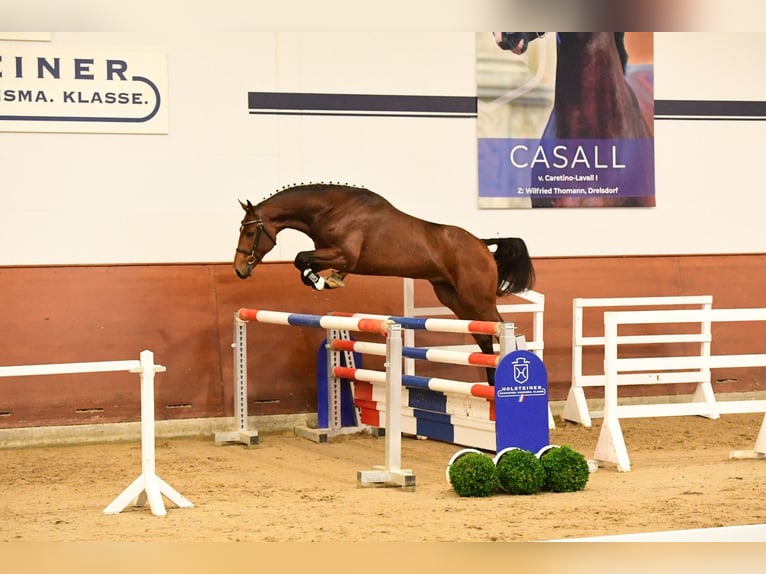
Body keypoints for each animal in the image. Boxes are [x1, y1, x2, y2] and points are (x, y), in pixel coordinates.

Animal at [231, 183, 536, 382]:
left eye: (249, 232)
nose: (239, 270)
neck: (331, 210)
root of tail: (482, 245)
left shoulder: (344, 255)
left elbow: (300, 258)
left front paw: (322, 281)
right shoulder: (332, 255)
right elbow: (303, 262)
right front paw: (327, 281)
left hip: (477, 298)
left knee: (500, 330)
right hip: (453, 298)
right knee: (483, 338)